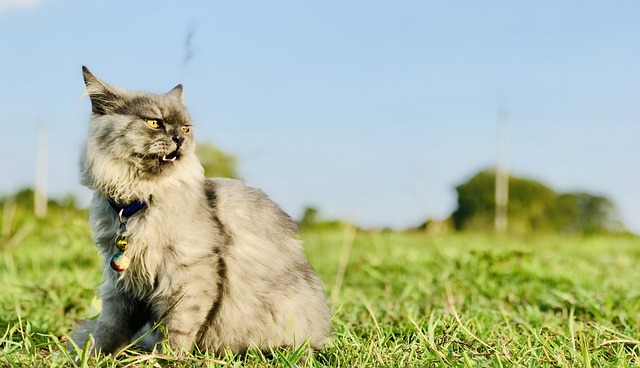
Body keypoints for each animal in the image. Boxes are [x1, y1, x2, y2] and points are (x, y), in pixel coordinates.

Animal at [72, 67, 332, 356]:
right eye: (154, 123)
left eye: (186, 128)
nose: (179, 139)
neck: (137, 201)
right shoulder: (122, 282)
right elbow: (108, 329)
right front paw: (91, 356)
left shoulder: (188, 275)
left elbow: (176, 329)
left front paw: (165, 358)